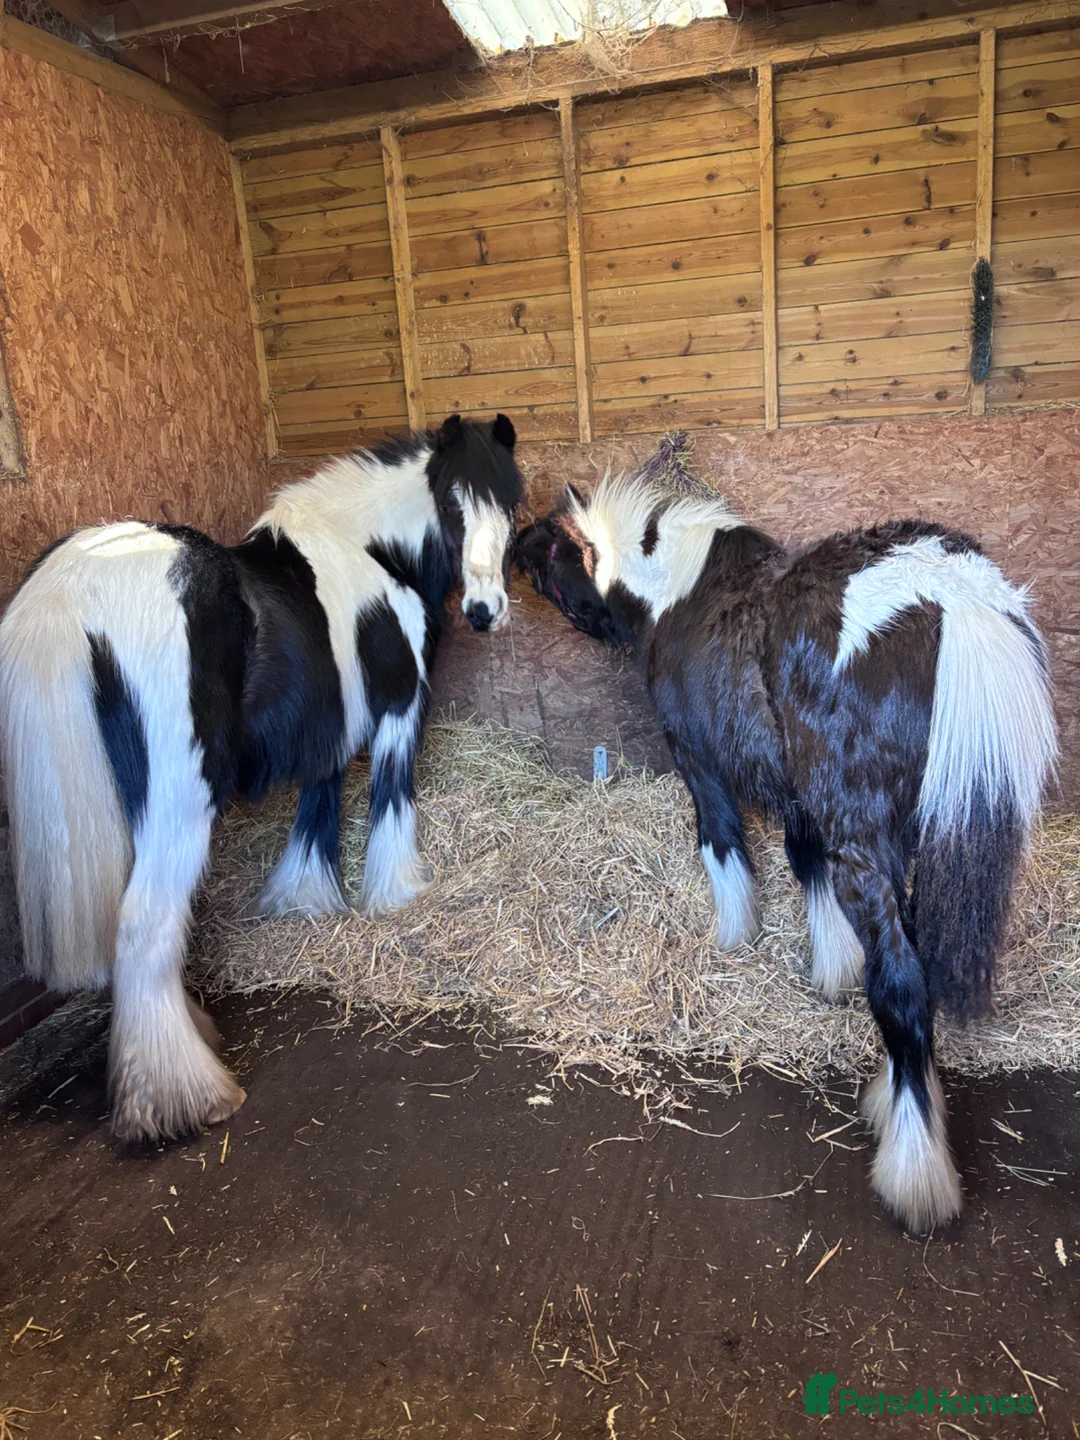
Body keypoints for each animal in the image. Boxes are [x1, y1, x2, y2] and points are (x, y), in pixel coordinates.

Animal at [0, 413, 523, 1144]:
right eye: (451, 502)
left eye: (510, 502)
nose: (484, 609)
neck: (369, 550)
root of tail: (74, 588)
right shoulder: (398, 712)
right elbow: (391, 803)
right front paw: (396, 894)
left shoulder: (326, 731)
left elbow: (316, 815)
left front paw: (305, 902)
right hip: (180, 805)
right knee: (144, 926)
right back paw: (182, 1098)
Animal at [517, 472, 1057, 1232]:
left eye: (553, 541)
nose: (511, 550)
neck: (677, 587)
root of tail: (952, 594)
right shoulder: (802, 800)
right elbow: (807, 871)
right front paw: (830, 970)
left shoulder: (699, 761)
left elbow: (722, 846)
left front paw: (733, 938)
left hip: (864, 837)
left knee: (901, 983)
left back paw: (913, 1170)